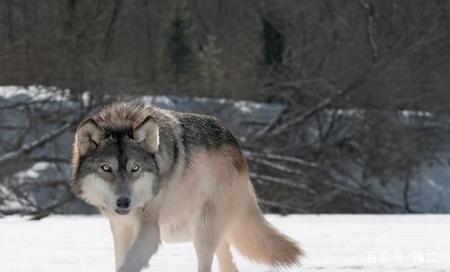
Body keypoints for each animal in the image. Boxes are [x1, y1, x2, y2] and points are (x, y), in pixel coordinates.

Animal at [71, 102, 302, 272]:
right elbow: (121, 259)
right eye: (106, 168)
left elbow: (128, 264)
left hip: (203, 232)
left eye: (135, 168)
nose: (123, 202)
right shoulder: (120, 228)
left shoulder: (150, 229)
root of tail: (238, 149)